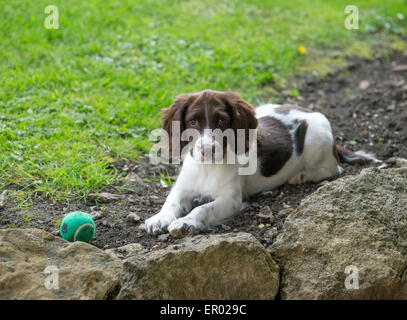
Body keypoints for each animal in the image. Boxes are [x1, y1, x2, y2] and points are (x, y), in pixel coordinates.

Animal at [146, 90, 380, 238]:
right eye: (193, 121)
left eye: (222, 121)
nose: (207, 150)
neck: (207, 168)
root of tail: (310, 111)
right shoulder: (183, 187)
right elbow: (170, 201)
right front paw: (159, 219)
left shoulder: (231, 199)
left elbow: (203, 208)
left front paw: (185, 223)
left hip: (316, 136)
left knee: (333, 167)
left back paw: (300, 176)